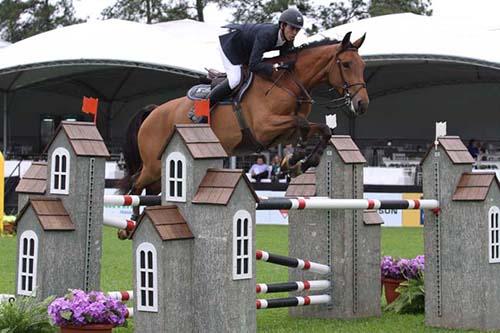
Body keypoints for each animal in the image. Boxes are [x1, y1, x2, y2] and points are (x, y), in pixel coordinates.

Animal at [119, 31, 370, 220]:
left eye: (362, 65)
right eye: (346, 64)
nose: (362, 104)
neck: (288, 82)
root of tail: (153, 112)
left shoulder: (283, 134)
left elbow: (321, 130)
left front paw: (299, 162)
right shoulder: (264, 127)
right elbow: (302, 124)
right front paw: (294, 161)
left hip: (158, 171)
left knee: (150, 191)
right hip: (153, 164)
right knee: (136, 184)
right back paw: (130, 223)